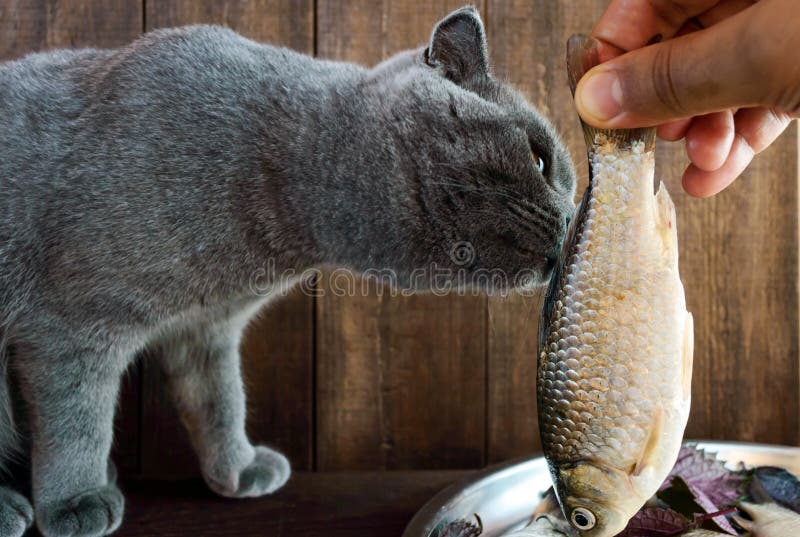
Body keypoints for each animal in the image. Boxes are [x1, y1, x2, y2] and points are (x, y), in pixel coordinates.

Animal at [0, 5, 576, 536]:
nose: (574, 218)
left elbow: (220, 399)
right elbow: (77, 420)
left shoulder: (205, 330)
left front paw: (237, 469)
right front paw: (75, 502)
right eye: (539, 158)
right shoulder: (73, 324)